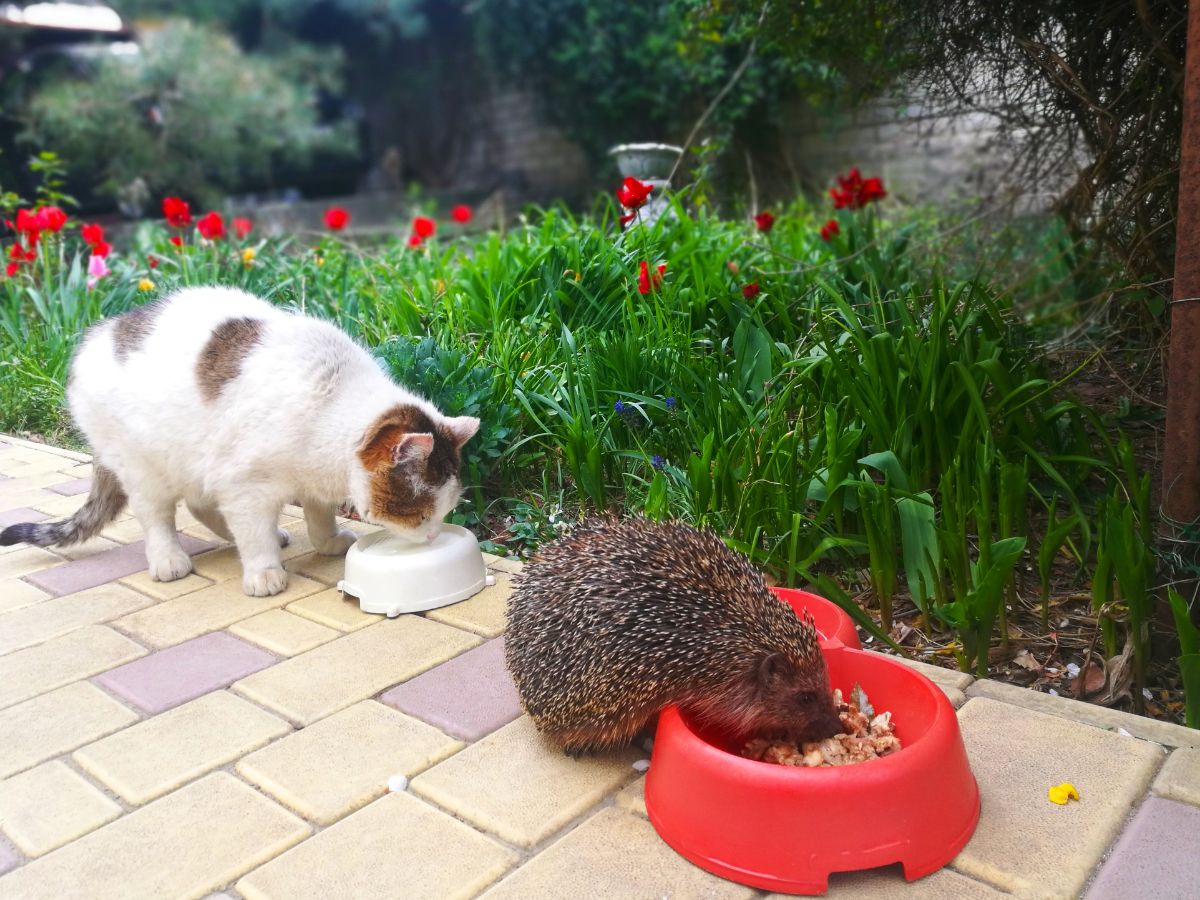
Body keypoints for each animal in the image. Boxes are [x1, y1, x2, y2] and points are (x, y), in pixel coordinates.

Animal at [1, 289, 477, 595]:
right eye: (419, 515)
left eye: (444, 512)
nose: (434, 538)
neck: (329, 408)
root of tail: (93, 335)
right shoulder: (246, 486)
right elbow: (252, 533)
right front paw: (264, 572)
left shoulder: (303, 480)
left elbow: (318, 519)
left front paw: (326, 542)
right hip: (145, 466)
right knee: (157, 517)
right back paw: (170, 561)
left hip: (197, 459)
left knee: (200, 504)